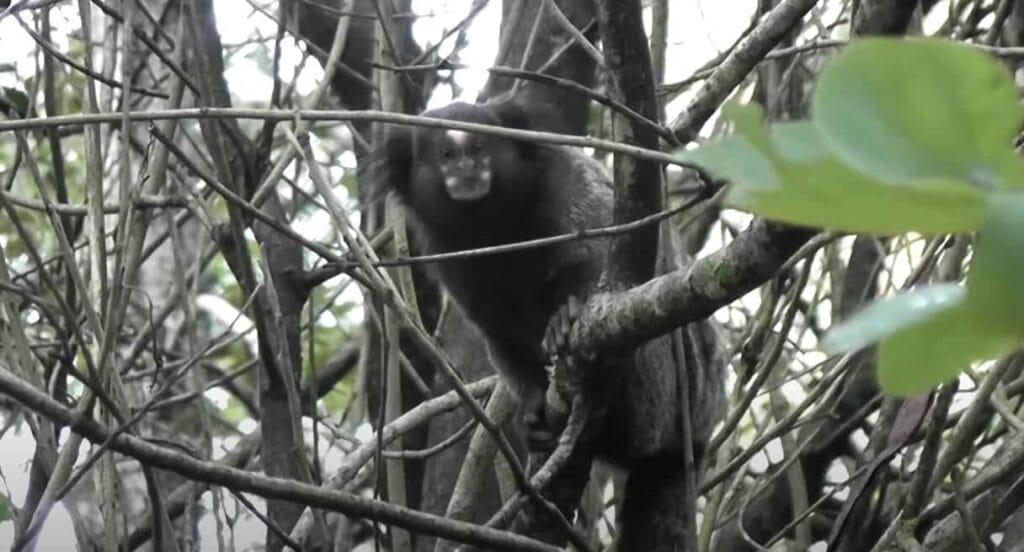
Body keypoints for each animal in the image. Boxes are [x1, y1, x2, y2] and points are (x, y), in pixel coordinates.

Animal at [378, 101, 729, 548]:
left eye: (479, 147)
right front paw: (532, 411)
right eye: (446, 155)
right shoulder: (451, 257)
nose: (468, 170)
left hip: (671, 397)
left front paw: (567, 317)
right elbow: (500, 333)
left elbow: (609, 258)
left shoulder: (571, 184)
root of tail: (699, 430)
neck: (492, 225)